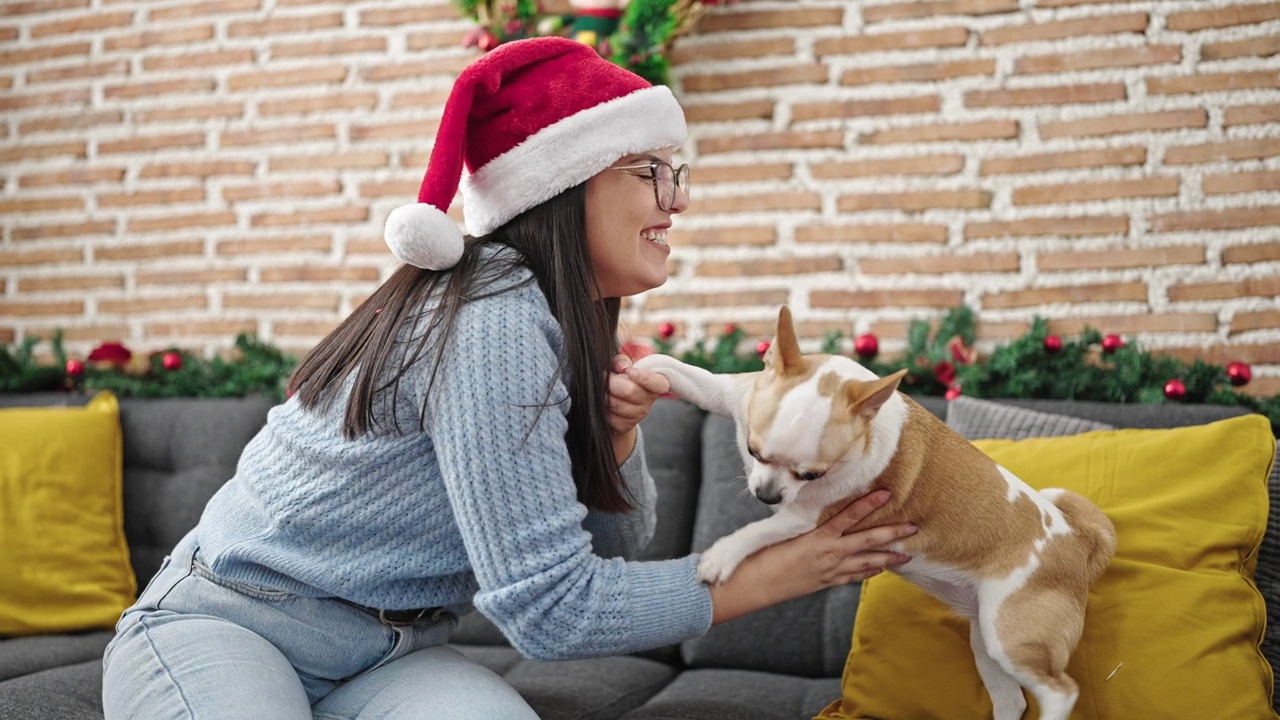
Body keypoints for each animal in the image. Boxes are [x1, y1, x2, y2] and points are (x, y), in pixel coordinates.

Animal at [634, 303, 1116, 717]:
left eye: (812, 475)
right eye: (753, 450)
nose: (767, 495)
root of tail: (1079, 545)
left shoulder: (806, 518)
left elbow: (758, 532)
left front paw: (720, 557)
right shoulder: (733, 395)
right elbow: (690, 375)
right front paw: (642, 369)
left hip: (1012, 637)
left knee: (1061, 691)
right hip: (987, 639)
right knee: (1012, 701)